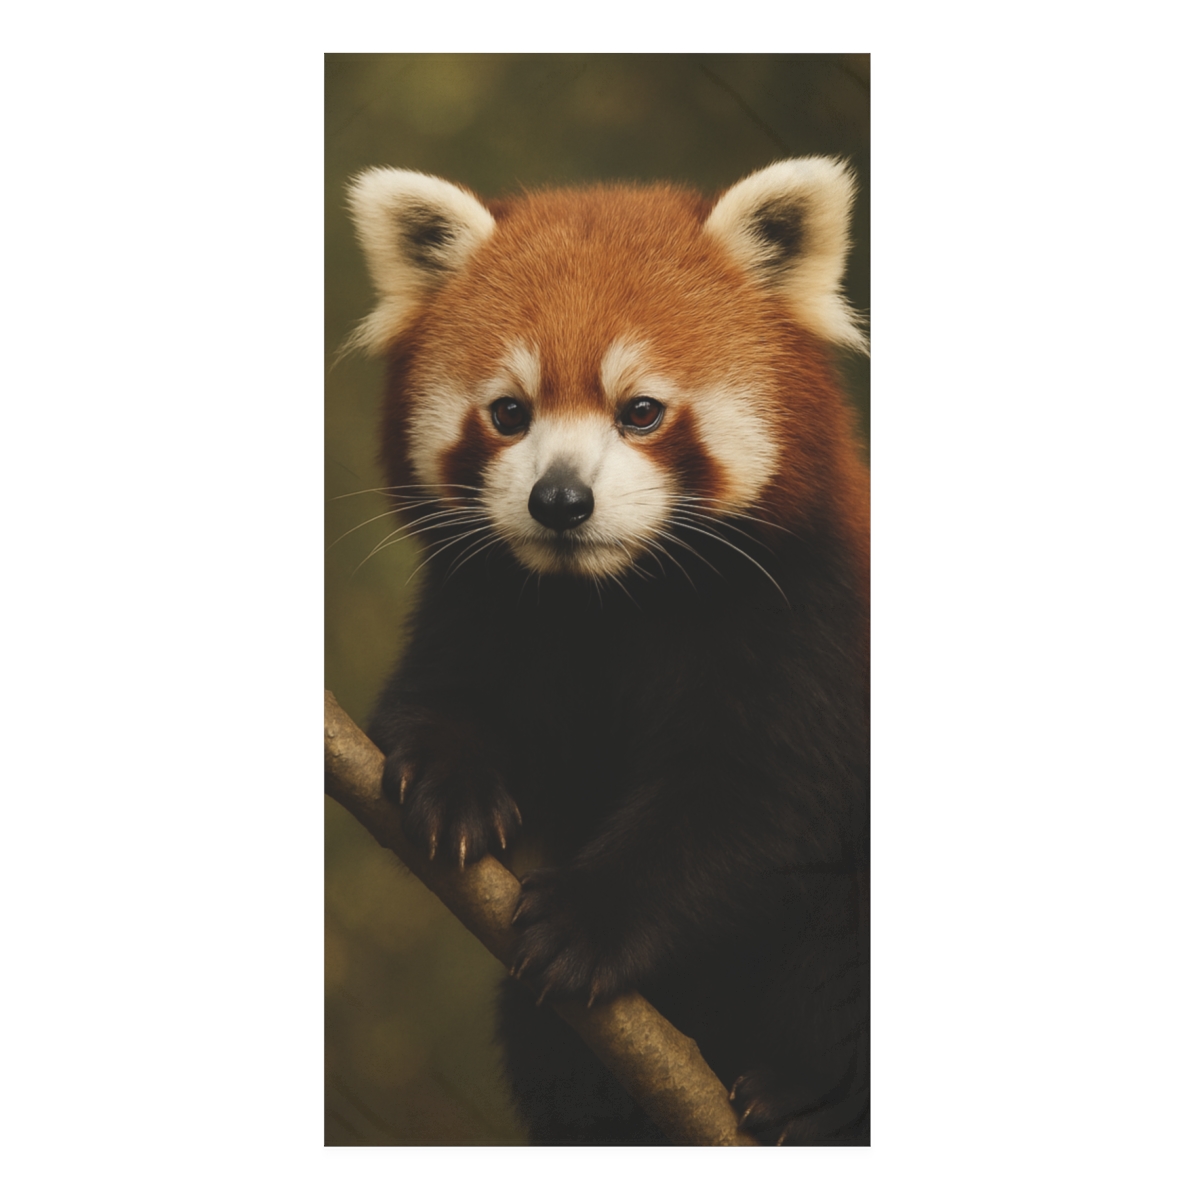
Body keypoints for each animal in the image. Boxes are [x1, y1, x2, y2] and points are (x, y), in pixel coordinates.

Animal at [346, 158, 869, 1145]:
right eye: (509, 413)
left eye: (642, 412)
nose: (559, 501)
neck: (612, 601)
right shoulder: (485, 608)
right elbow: (431, 704)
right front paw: (447, 781)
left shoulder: (809, 629)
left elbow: (757, 804)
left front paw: (590, 924)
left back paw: (803, 1095)